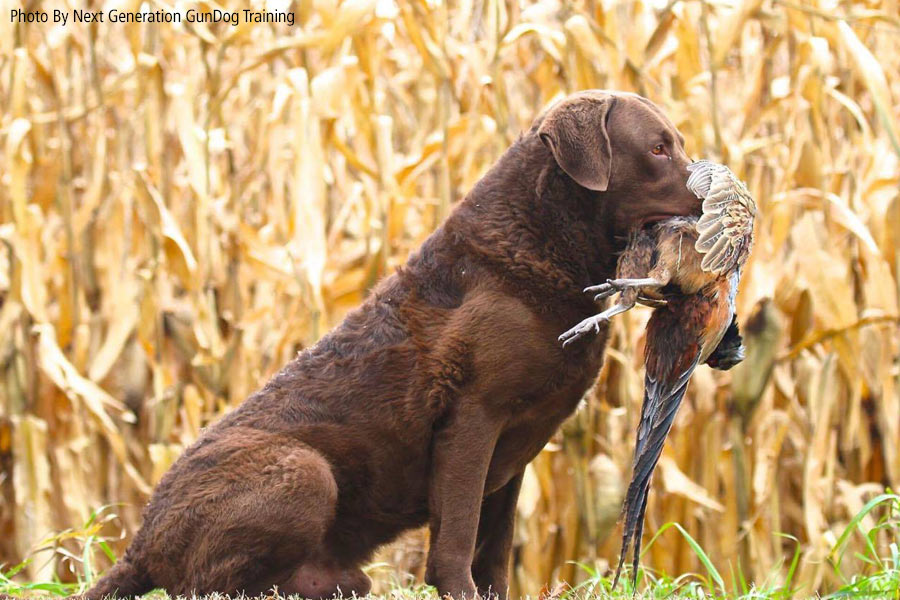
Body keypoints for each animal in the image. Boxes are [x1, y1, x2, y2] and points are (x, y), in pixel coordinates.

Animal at [82, 89, 724, 600]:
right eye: (659, 149)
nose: (718, 200)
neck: (540, 245)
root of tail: (141, 543)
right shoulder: (472, 419)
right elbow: (457, 542)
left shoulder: (516, 450)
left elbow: (494, 551)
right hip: (301, 470)